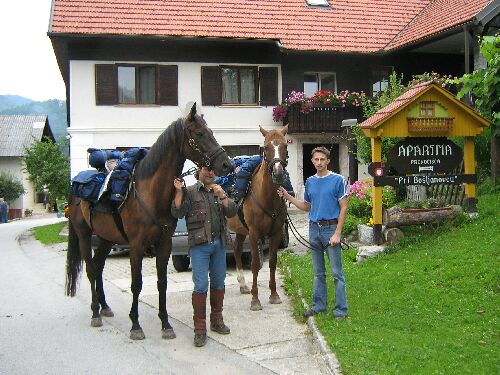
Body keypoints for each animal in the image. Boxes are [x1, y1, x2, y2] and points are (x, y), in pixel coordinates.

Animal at [64, 104, 232, 342]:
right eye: (199, 134)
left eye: (210, 132)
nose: (226, 164)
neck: (151, 194)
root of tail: (76, 186)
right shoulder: (136, 246)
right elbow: (137, 284)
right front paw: (135, 325)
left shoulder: (164, 245)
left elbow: (162, 283)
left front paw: (165, 324)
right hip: (84, 235)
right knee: (90, 269)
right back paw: (95, 311)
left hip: (106, 238)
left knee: (98, 267)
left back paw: (105, 306)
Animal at [228, 126, 290, 312]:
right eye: (266, 148)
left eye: (285, 146)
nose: (278, 174)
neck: (267, 197)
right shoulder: (254, 234)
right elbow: (255, 264)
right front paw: (255, 300)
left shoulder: (276, 233)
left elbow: (272, 262)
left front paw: (274, 295)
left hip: (240, 231)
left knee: (237, 250)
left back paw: (243, 285)